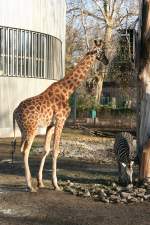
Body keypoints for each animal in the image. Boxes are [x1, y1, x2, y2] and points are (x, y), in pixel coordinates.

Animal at [12, 38, 108, 192]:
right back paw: (29, 185)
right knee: (26, 150)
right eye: (102, 51)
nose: (107, 61)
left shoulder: (50, 125)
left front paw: (41, 182)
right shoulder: (61, 120)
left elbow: (46, 149)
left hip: (23, 130)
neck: (68, 90)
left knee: (21, 148)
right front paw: (55, 184)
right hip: (31, 129)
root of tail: (15, 111)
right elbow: (56, 150)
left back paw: (32, 183)